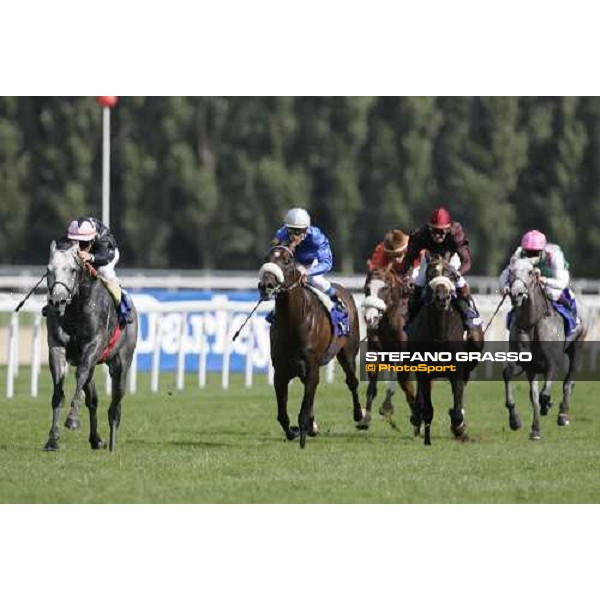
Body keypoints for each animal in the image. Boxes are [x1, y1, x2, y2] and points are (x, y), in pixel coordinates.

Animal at [44, 238, 138, 450]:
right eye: (49, 270)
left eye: (72, 270)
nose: (58, 300)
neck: (75, 310)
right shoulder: (56, 347)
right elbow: (58, 390)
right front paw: (52, 439)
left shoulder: (93, 346)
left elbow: (80, 375)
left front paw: (72, 419)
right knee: (93, 400)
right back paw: (96, 439)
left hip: (121, 362)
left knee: (116, 401)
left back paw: (112, 441)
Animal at [256, 245, 364, 450]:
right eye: (266, 258)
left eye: (286, 261)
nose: (266, 285)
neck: (294, 321)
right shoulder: (281, 372)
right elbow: (283, 415)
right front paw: (295, 431)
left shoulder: (312, 367)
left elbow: (304, 411)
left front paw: (303, 435)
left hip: (347, 352)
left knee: (352, 381)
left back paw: (359, 415)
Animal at [356, 268, 418, 432]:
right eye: (366, 289)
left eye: (384, 288)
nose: (371, 318)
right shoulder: (375, 353)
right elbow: (372, 387)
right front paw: (365, 419)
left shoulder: (404, 356)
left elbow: (403, 383)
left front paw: (387, 407)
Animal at [408, 255, 482, 442]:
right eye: (430, 273)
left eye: (451, 274)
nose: (441, 297)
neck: (440, 332)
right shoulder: (424, 369)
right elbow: (426, 402)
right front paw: (419, 417)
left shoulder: (457, 370)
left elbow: (457, 408)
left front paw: (459, 427)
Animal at [502, 258, 584, 440]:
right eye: (511, 271)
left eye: (531, 272)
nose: (516, 293)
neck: (532, 322)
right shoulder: (524, 364)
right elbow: (508, 375)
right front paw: (515, 420)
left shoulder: (553, 363)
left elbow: (544, 394)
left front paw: (548, 405)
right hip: (532, 370)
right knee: (533, 397)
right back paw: (536, 430)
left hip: (577, 347)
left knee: (569, 382)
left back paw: (563, 415)